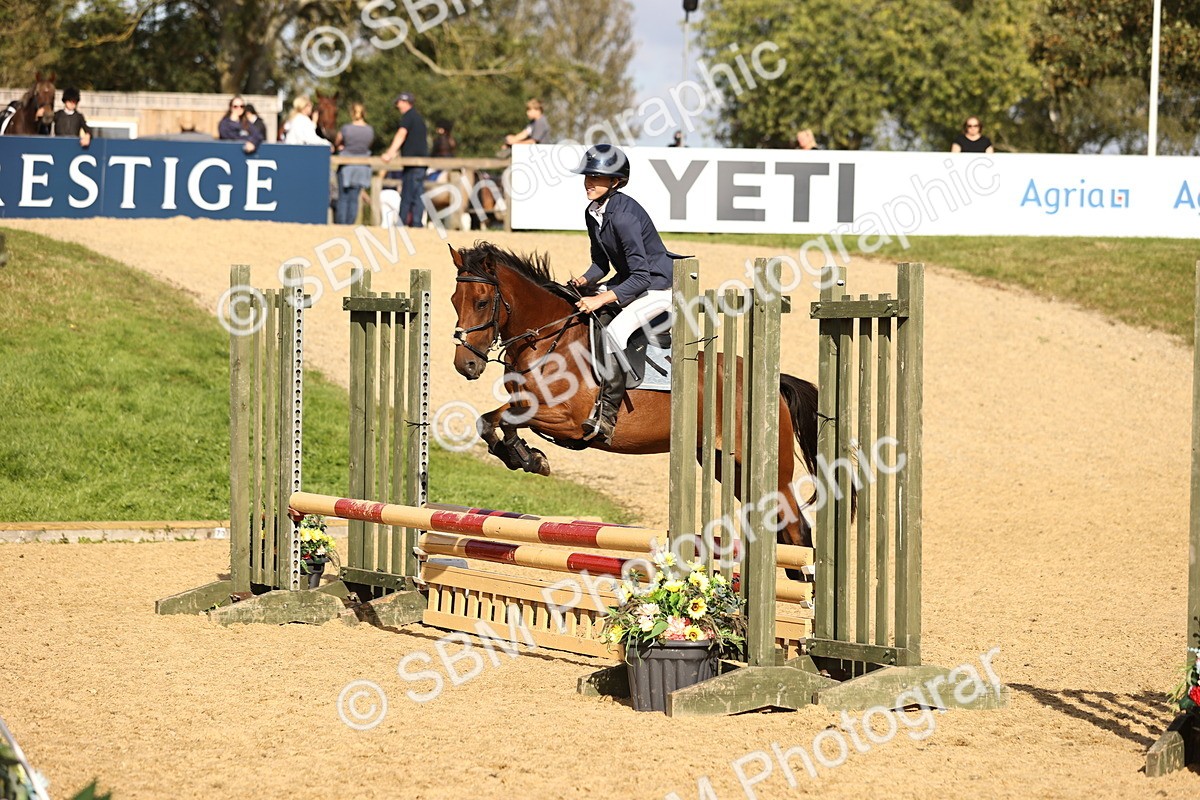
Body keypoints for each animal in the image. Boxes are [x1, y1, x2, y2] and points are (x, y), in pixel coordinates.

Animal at [448, 241, 825, 554]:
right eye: (454, 301)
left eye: (482, 302)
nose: (466, 365)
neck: (550, 340)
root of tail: (774, 381)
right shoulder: (531, 407)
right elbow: (488, 421)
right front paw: (524, 456)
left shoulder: (568, 421)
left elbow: (505, 419)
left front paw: (529, 457)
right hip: (725, 464)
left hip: (771, 473)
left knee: (799, 530)